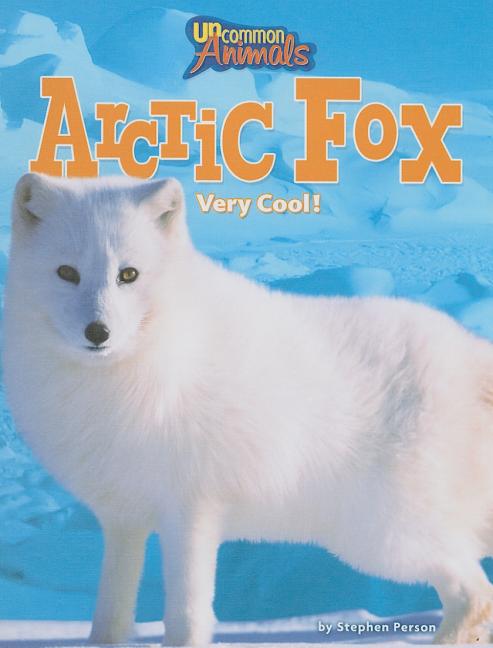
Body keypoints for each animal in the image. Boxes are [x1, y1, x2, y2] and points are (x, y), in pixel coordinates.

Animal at [4, 172, 493, 646]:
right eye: (67, 272)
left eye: (128, 274)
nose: (98, 331)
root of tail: (471, 352)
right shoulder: (123, 518)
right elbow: (111, 612)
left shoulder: (192, 510)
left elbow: (187, 615)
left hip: (385, 536)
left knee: (475, 591)